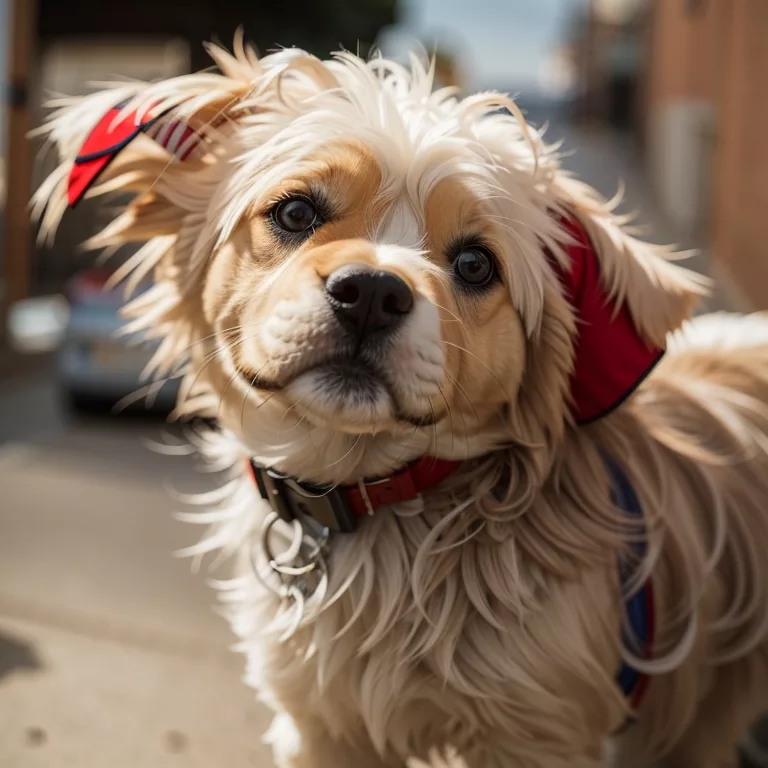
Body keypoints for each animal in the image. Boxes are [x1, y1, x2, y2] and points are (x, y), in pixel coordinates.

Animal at [33, 34, 768, 768]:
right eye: (295, 211)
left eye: (475, 264)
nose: (373, 293)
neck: (366, 500)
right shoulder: (322, 726)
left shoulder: (539, 735)